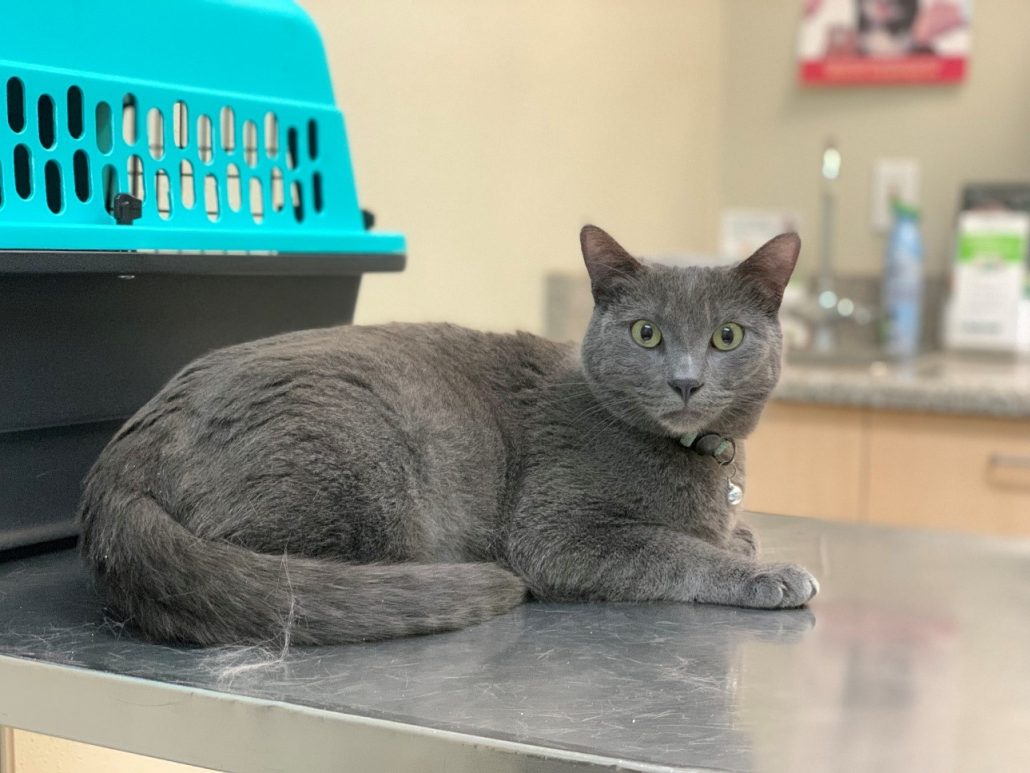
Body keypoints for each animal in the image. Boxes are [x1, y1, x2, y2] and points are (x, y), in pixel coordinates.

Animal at [78, 225, 819, 647]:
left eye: (727, 336)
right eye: (646, 333)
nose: (686, 381)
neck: (700, 459)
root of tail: (116, 466)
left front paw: (740, 536)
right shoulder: (557, 532)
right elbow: (674, 549)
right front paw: (766, 572)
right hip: (363, 463)